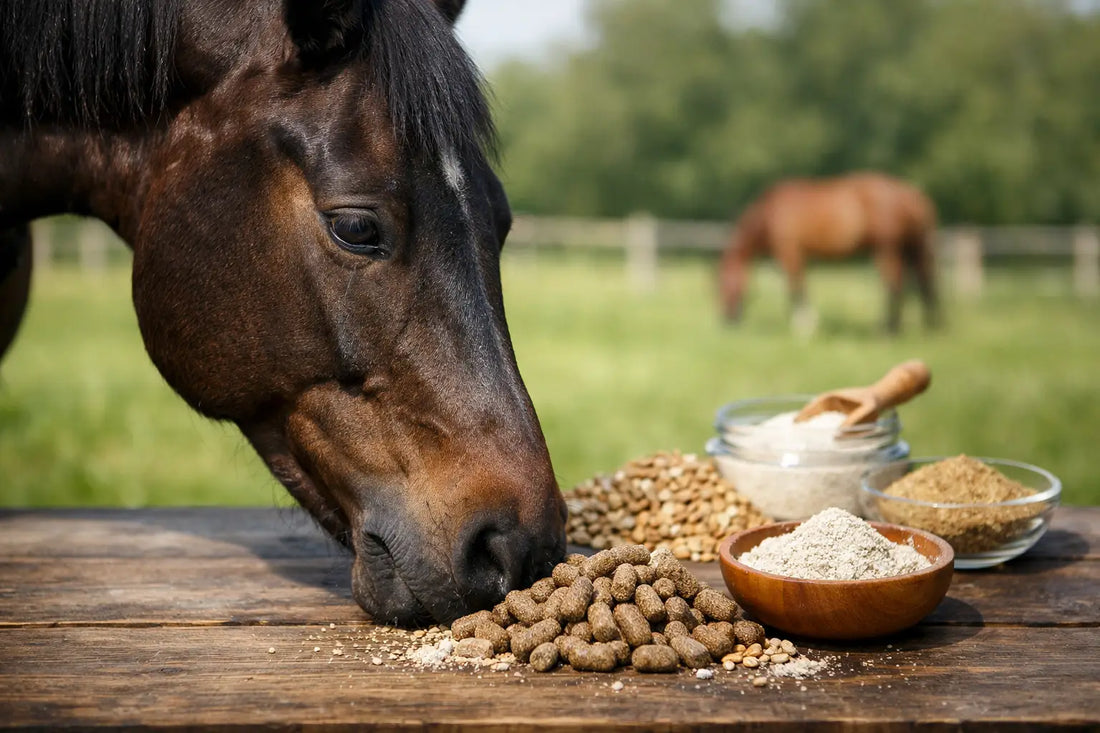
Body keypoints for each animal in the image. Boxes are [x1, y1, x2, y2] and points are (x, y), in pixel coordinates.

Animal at [718, 172, 940, 334]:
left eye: (724, 286)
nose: (728, 321)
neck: (770, 212)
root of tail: (910, 194)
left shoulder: (790, 253)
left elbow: (796, 288)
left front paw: (803, 326)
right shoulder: (803, 257)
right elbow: (800, 286)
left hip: (887, 249)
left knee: (894, 284)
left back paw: (888, 329)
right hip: (909, 249)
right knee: (923, 283)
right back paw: (927, 326)